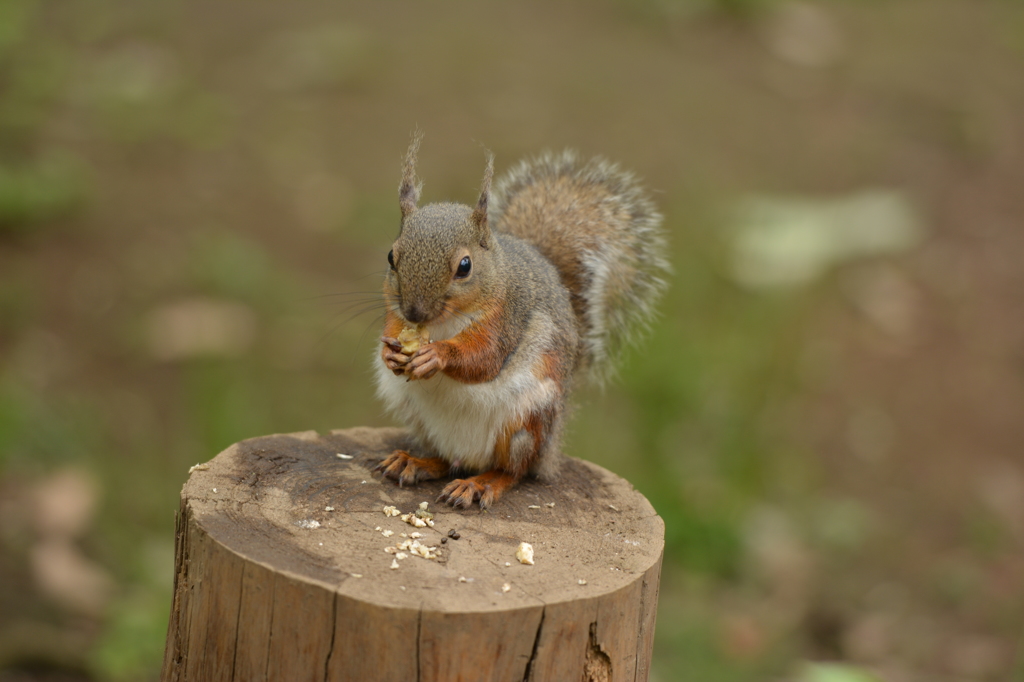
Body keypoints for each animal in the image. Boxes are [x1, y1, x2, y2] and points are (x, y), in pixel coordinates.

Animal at [372, 131, 667, 503]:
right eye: (390, 257)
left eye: (464, 266)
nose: (415, 312)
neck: (442, 324)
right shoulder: (394, 311)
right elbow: (393, 330)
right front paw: (390, 354)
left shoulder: (505, 320)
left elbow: (485, 360)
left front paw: (436, 355)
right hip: (418, 418)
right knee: (447, 459)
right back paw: (416, 462)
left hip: (526, 424)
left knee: (515, 470)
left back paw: (480, 484)